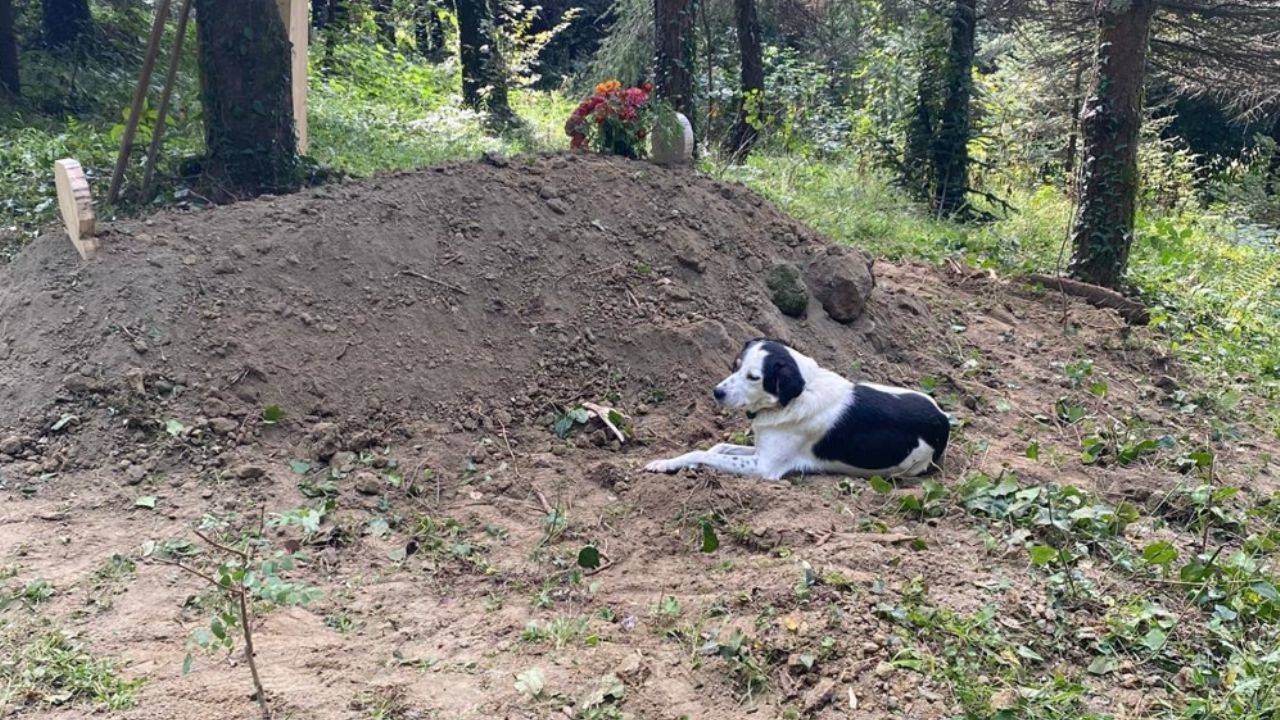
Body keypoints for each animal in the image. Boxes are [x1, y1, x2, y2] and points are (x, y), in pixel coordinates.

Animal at [640, 338, 952, 479]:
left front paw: (667, 463)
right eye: (735, 366)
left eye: (753, 377)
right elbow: (716, 448)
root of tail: (944, 419)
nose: (717, 392)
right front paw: (675, 462)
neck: (795, 396)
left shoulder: (764, 467)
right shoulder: (761, 448)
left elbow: (704, 453)